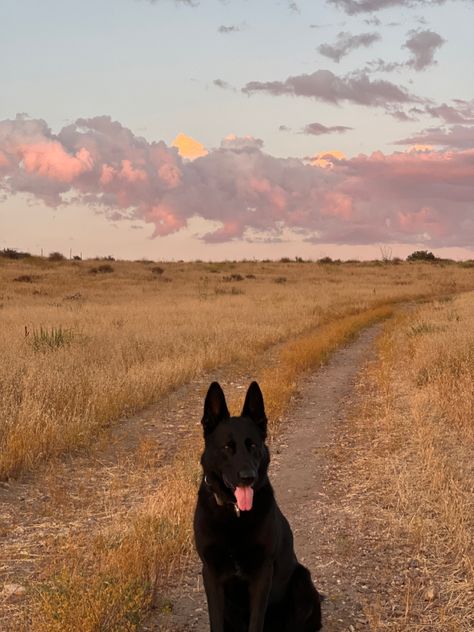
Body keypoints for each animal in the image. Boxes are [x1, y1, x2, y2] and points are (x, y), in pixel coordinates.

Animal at [193, 380, 322, 632]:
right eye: (227, 447)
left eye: (252, 445)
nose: (248, 477)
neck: (234, 514)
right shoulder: (211, 574)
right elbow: (216, 622)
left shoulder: (262, 575)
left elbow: (256, 622)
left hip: (301, 581)